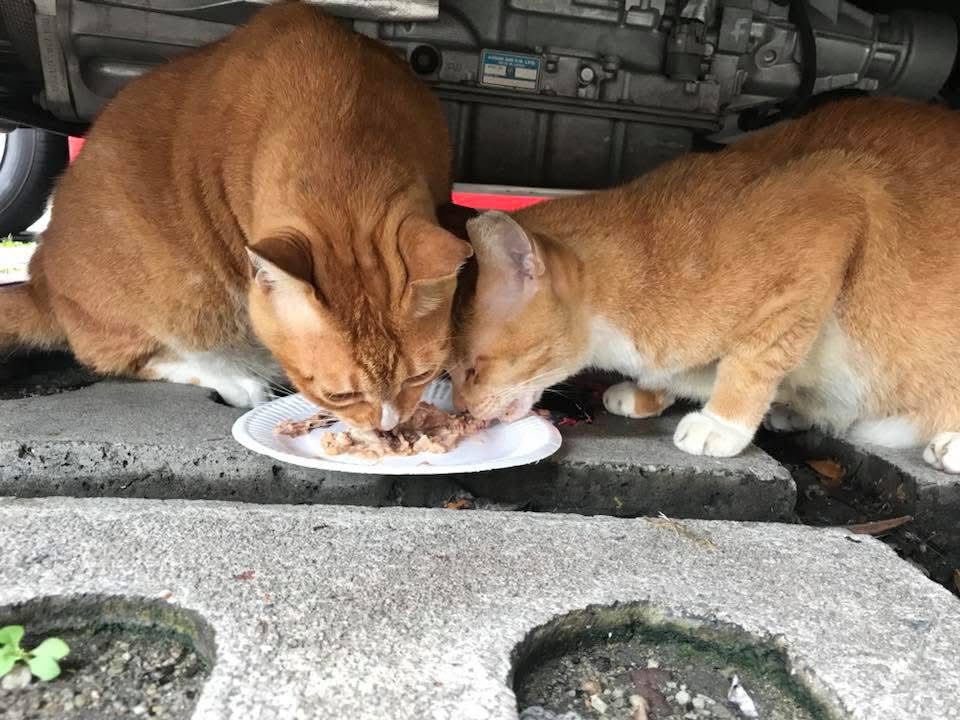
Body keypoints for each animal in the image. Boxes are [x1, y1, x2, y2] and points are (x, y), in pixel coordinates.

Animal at [0, 3, 472, 431]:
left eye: (421, 376)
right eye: (338, 396)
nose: (387, 427)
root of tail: (40, 281)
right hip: (171, 298)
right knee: (138, 358)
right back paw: (238, 378)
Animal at [450, 97, 960, 474]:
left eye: (473, 369)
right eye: (451, 373)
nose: (462, 410)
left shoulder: (837, 200)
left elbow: (755, 357)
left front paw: (722, 424)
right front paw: (644, 394)